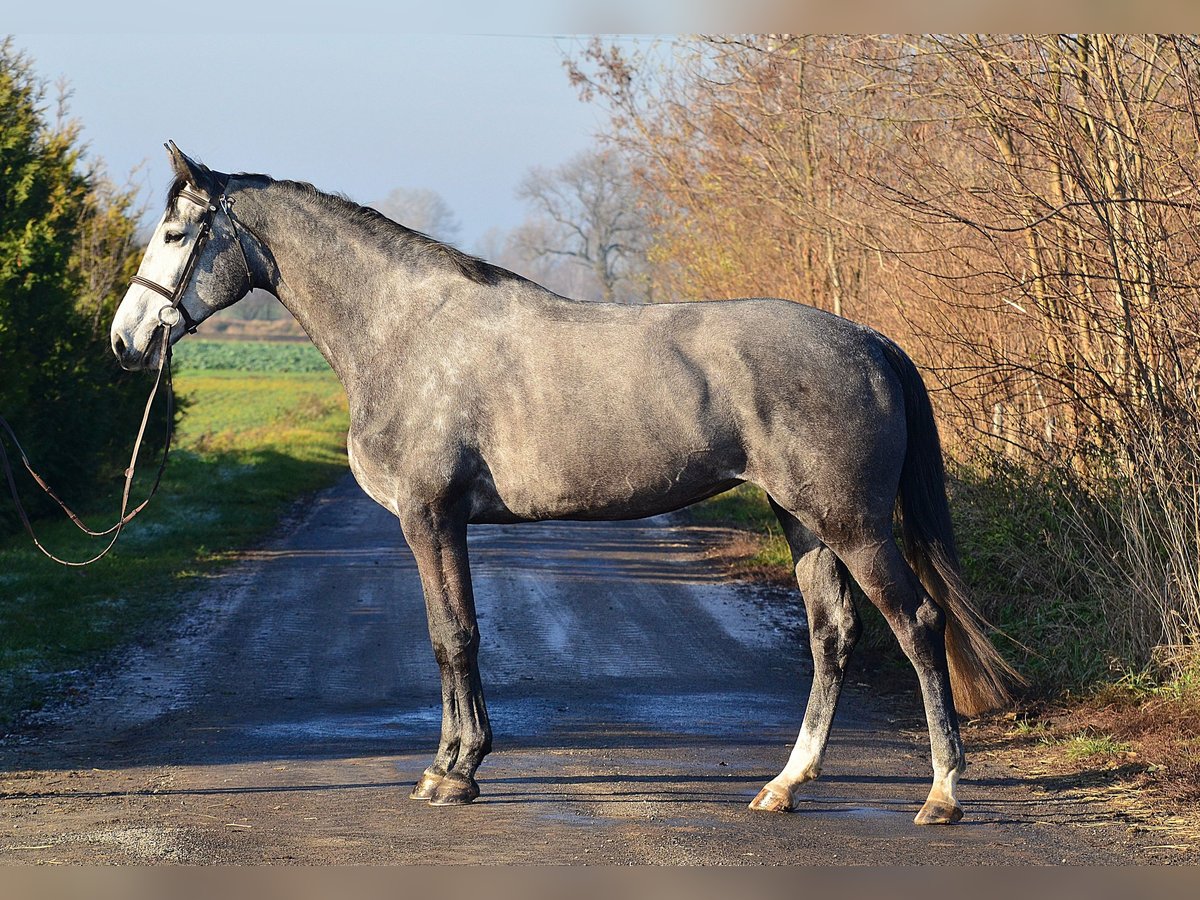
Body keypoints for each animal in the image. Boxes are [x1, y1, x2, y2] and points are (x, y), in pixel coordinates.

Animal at [110, 144, 1012, 830]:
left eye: (176, 232)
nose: (126, 340)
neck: (405, 331)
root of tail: (868, 340)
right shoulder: (441, 522)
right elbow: (451, 637)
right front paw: (453, 764)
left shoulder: (429, 517)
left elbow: (453, 637)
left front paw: (455, 772)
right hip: (803, 520)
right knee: (834, 635)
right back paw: (784, 786)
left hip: (853, 522)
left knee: (918, 626)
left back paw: (942, 795)